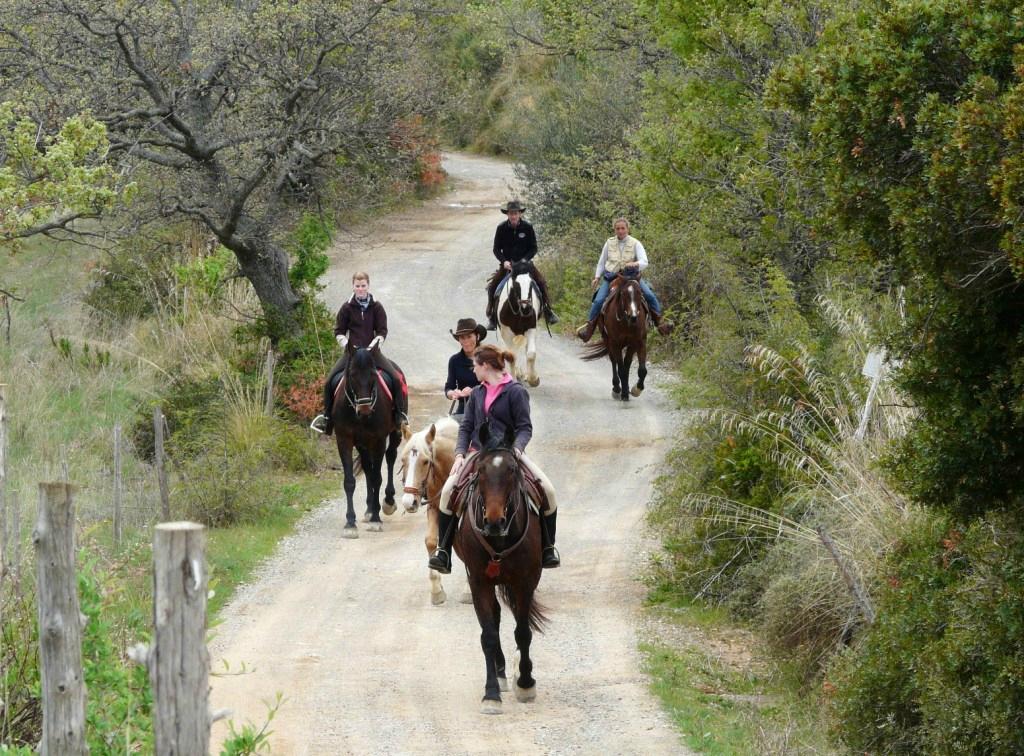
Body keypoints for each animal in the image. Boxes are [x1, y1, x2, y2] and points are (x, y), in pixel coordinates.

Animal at [331, 342, 403, 536]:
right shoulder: (344, 440)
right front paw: (350, 523)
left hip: (394, 434)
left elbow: (378, 477)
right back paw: (370, 509)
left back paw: (388, 502)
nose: (364, 410)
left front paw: (376, 520)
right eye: (352, 375)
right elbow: (350, 481)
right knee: (367, 467)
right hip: (362, 444)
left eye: (373, 375)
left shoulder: (378, 440)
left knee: (391, 457)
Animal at [397, 415, 458, 602]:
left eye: (425, 461)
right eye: (403, 460)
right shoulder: (434, 507)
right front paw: (436, 590)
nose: (409, 502)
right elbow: (431, 540)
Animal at [454, 424, 548, 712]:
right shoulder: (478, 582)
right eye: (480, 471)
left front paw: (526, 683)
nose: (494, 522)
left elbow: (523, 632)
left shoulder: (525, 582)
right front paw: (491, 694)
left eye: (513, 470)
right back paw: (501, 672)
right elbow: (488, 635)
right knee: (494, 619)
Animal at [497, 260, 544, 389]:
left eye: (531, 283)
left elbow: (531, 354)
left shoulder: (531, 328)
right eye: (516, 284)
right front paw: (513, 379)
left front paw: (533, 379)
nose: (526, 307)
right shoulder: (507, 332)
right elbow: (511, 355)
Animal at [585, 272, 647, 401]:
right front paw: (623, 392)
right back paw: (617, 388)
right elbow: (621, 369)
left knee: (626, 363)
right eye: (623, 294)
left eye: (640, 292)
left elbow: (641, 370)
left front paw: (635, 390)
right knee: (614, 362)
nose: (633, 317)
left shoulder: (639, 341)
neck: (626, 322)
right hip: (607, 340)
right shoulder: (616, 343)